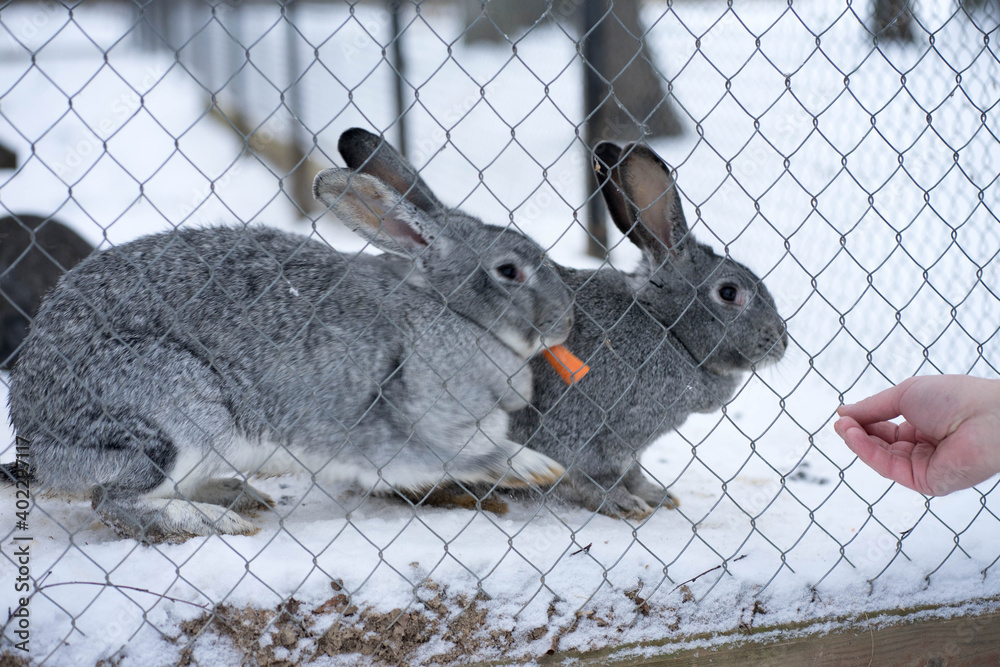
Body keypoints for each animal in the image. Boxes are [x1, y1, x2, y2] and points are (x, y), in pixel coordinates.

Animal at [503, 141, 787, 520]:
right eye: (729, 293)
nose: (781, 342)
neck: (665, 328)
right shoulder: (587, 431)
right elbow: (589, 476)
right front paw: (622, 504)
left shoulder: (632, 448)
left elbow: (633, 472)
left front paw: (657, 496)